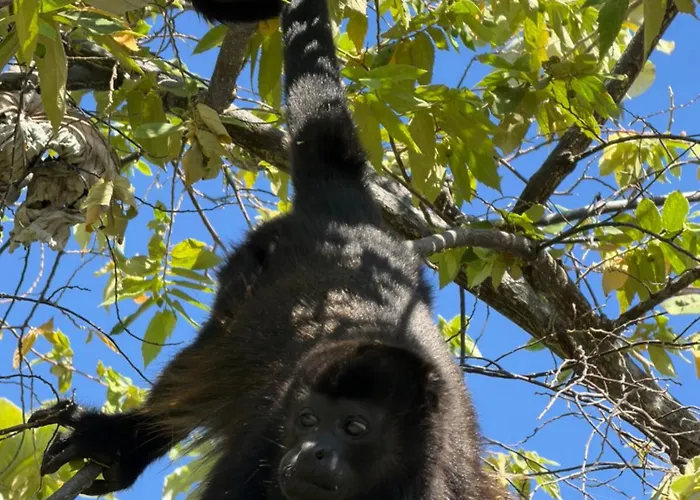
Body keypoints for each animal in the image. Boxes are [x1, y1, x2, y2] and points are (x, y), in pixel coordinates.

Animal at [31, 0, 505, 498]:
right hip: (249, 267)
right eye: (307, 420)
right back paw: (127, 441)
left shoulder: (454, 471)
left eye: (354, 427)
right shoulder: (267, 435)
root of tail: (346, 217)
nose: (309, 451)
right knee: (208, 359)